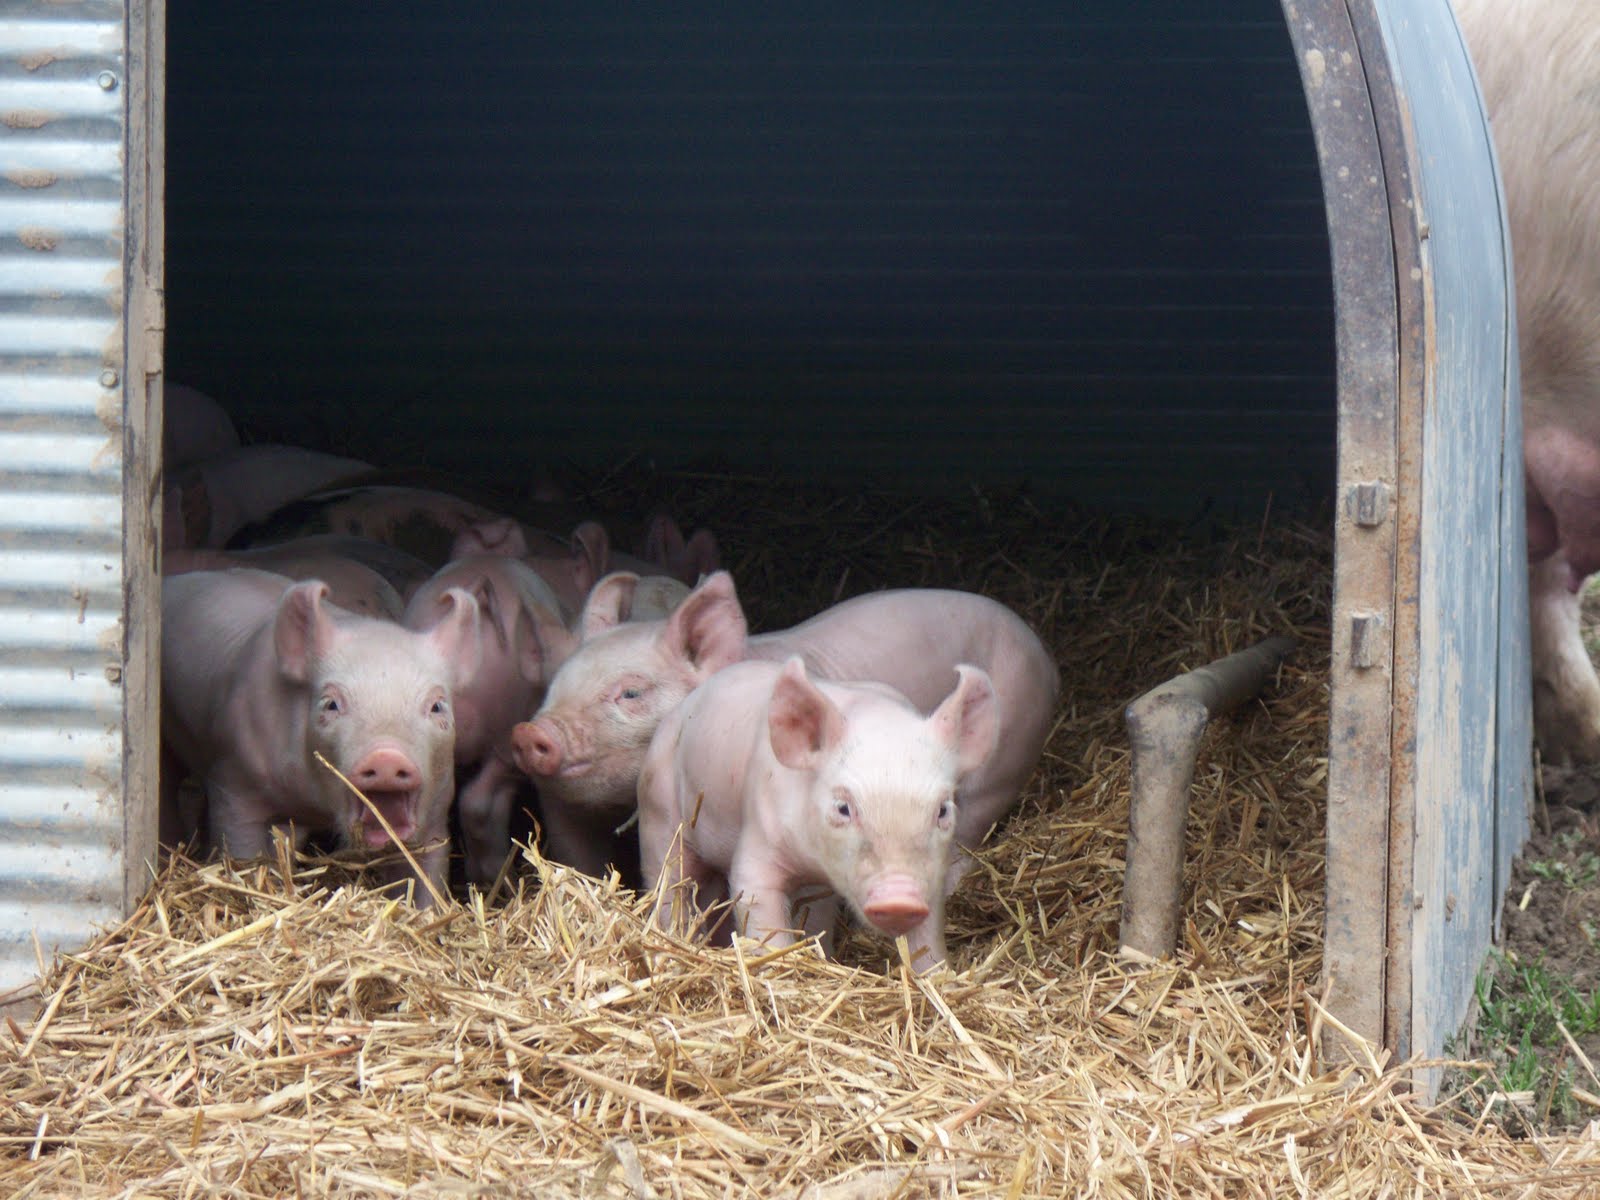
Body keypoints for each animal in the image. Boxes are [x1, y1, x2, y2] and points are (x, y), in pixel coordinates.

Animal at [161, 568, 481, 902]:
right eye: (331, 704)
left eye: (437, 706)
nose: (387, 756)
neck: (317, 807)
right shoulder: (233, 781)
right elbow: (241, 850)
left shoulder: (437, 812)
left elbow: (424, 879)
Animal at [638, 657, 999, 970]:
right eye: (843, 808)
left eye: (942, 810)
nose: (899, 900)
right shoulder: (758, 837)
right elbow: (758, 906)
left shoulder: (932, 874)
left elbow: (927, 939)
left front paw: (939, 978)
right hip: (657, 813)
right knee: (669, 884)